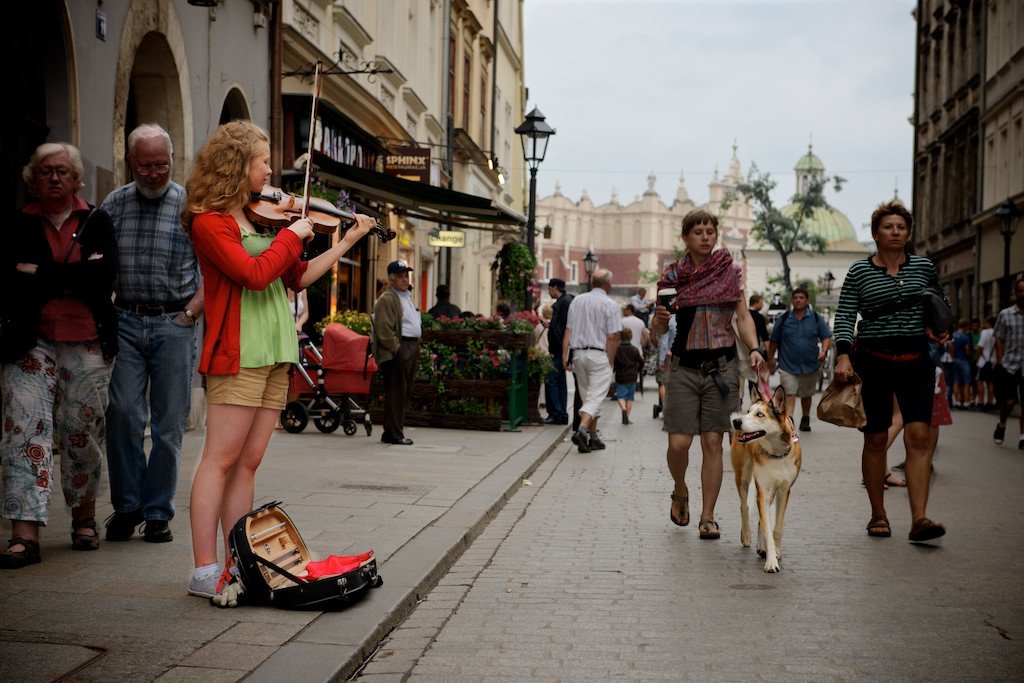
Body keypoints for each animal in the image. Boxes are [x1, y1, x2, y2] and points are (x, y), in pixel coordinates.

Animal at [733, 385, 802, 573]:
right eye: (748, 412)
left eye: (760, 414)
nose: (736, 422)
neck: (776, 454)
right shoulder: (763, 491)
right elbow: (767, 526)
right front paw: (771, 562)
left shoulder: (784, 491)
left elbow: (775, 528)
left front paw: (775, 552)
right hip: (743, 477)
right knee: (744, 506)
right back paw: (747, 536)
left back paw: (761, 546)